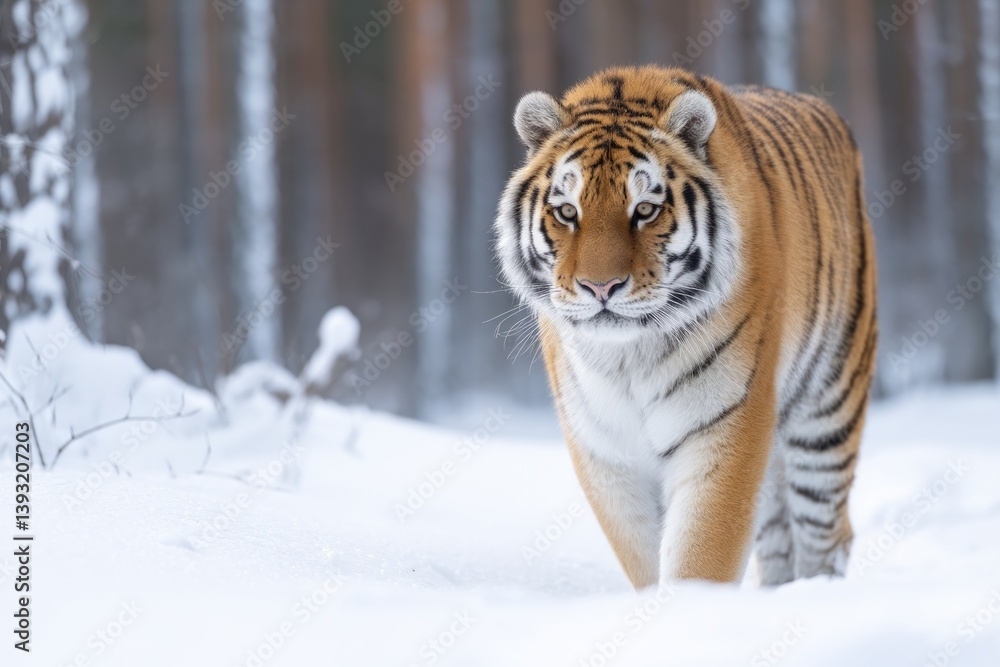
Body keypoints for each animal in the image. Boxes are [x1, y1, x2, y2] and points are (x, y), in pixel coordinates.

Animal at [493, 66, 877, 588]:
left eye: (645, 210)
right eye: (568, 211)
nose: (600, 286)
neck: (628, 358)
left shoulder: (726, 427)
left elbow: (700, 557)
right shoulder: (605, 452)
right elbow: (644, 559)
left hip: (829, 413)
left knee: (826, 535)